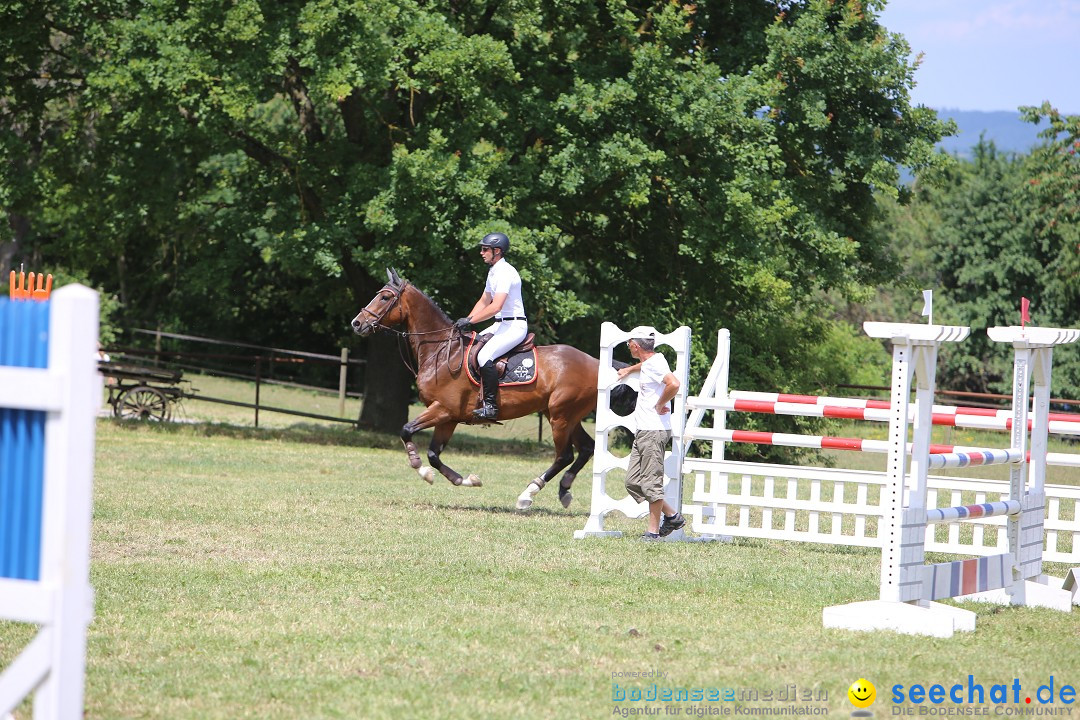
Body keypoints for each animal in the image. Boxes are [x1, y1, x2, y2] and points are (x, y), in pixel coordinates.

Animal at [354, 267, 609, 509]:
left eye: (385, 297)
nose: (356, 323)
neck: (441, 351)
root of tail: (595, 362)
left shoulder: (442, 409)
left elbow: (407, 431)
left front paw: (421, 469)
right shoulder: (448, 418)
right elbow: (434, 454)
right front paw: (466, 480)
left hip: (561, 416)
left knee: (564, 455)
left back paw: (528, 494)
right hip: (564, 415)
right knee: (586, 448)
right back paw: (564, 489)